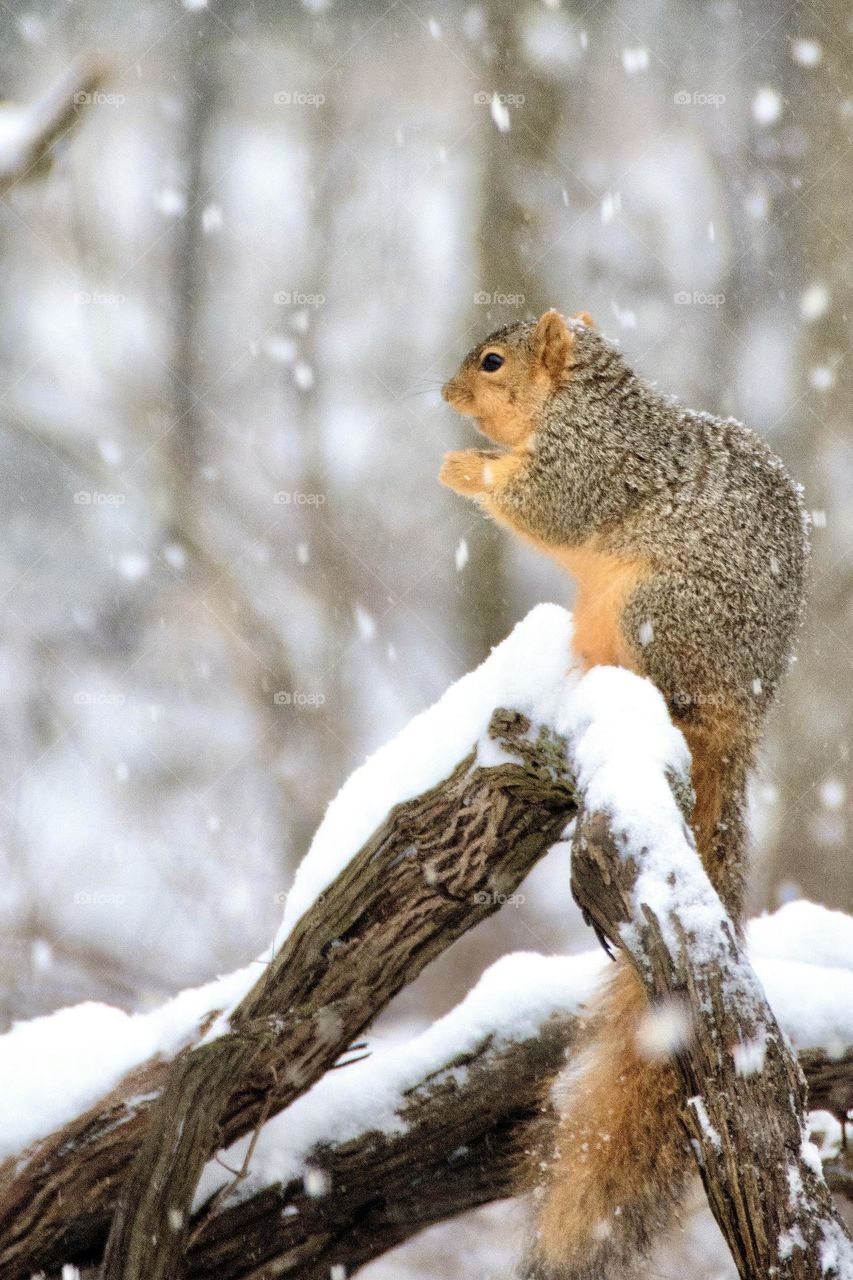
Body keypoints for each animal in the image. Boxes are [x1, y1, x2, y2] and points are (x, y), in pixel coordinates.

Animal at [438, 312, 804, 1280]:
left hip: (657, 610)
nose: (446, 393)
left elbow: (543, 505)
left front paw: (462, 468)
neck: (580, 401)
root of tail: (742, 715)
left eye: (493, 361)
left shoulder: (590, 464)